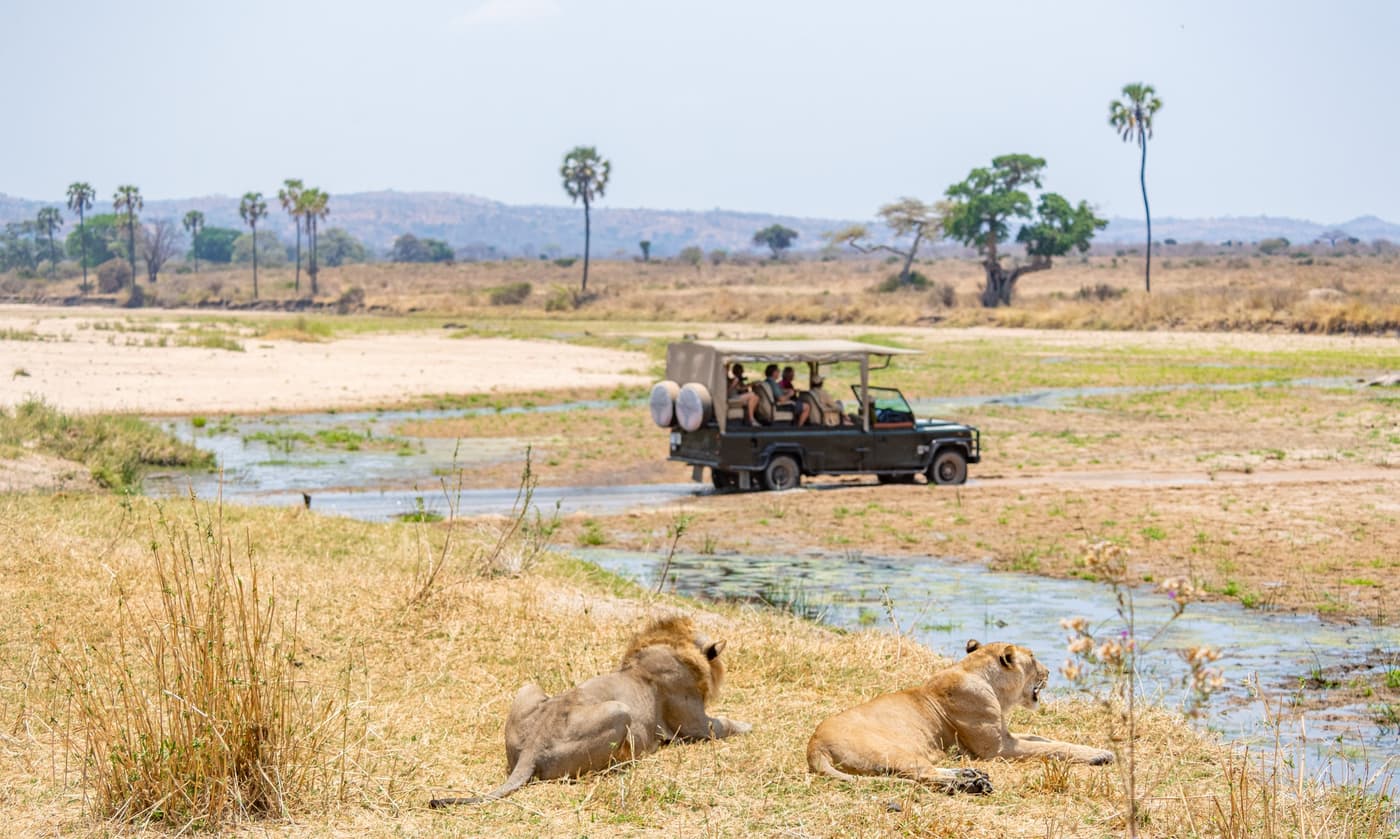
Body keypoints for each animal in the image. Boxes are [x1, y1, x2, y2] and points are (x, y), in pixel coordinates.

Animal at [429, 616, 751, 807]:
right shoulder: (696, 724)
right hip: (620, 710)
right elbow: (726, 723)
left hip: (527, 688)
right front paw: (750, 725)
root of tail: (534, 747)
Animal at [806, 639, 1113, 795]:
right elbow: (1052, 748)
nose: (1048, 671)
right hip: (895, 750)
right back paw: (970, 783)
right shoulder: (997, 749)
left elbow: (1044, 739)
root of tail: (814, 746)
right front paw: (1100, 755)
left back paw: (971, 776)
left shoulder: (1006, 736)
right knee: (923, 775)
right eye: (1034, 657)